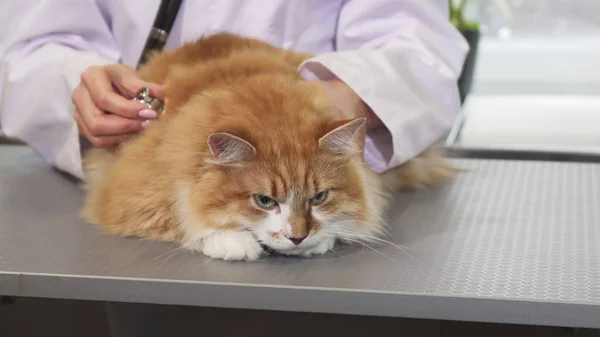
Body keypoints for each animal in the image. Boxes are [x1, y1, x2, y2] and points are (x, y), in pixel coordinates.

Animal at [78, 32, 454, 260]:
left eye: (319, 197)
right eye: (264, 201)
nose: (298, 237)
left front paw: (325, 236)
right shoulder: (129, 191)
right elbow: (184, 216)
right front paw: (231, 240)